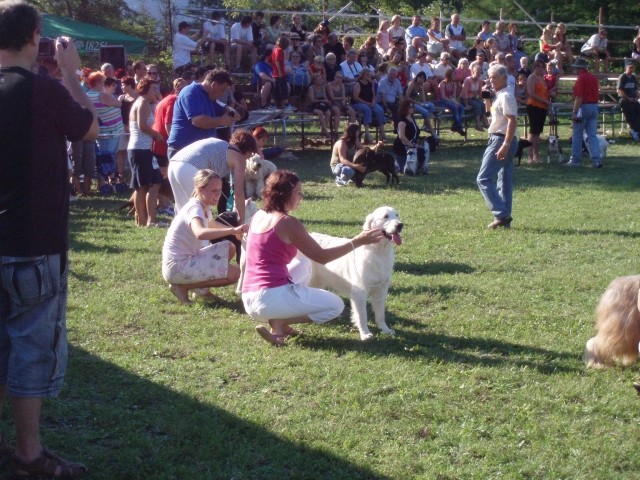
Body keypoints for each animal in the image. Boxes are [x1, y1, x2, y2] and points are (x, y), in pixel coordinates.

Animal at [298, 208, 402, 340]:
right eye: (385, 216)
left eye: (397, 215)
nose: (400, 225)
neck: (379, 252)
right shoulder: (360, 293)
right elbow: (362, 316)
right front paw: (365, 334)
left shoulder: (381, 290)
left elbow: (380, 314)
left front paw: (385, 329)